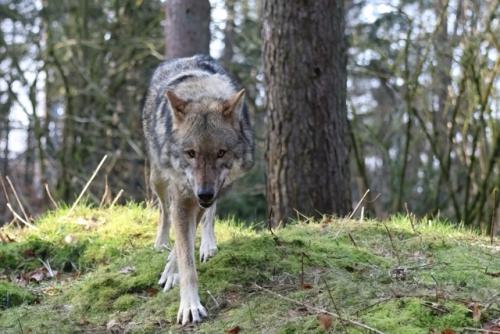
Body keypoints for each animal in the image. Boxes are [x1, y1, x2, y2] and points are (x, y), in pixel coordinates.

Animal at [144, 54, 254, 324]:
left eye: (221, 153)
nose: (204, 193)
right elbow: (186, 260)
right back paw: (161, 243)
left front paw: (173, 271)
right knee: (164, 211)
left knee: (209, 217)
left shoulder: (203, 197)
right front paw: (189, 306)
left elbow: (187, 243)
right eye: (191, 153)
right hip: (157, 178)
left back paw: (207, 245)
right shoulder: (184, 198)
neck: (202, 94)